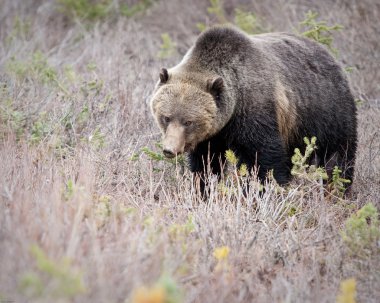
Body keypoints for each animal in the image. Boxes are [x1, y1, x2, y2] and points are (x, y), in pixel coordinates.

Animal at [150, 25, 358, 194]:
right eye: (166, 117)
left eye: (188, 121)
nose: (169, 150)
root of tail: (330, 55)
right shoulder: (211, 136)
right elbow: (206, 163)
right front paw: (203, 189)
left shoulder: (255, 112)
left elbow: (263, 159)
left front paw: (263, 191)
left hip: (327, 112)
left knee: (338, 154)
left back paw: (338, 187)